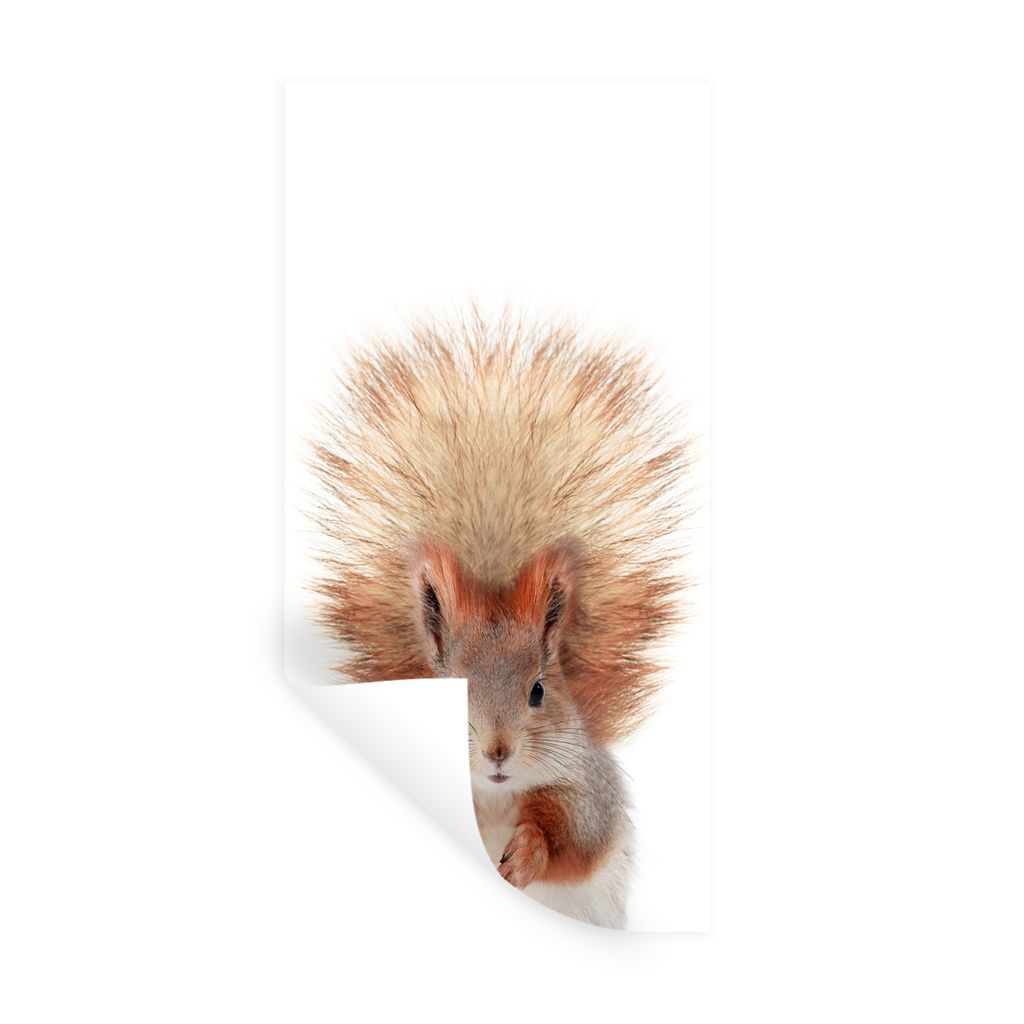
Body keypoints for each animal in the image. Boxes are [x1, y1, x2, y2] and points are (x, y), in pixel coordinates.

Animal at [307, 309, 693, 929]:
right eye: (445, 689)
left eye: (538, 691)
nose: (497, 751)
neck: (489, 797)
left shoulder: (586, 787)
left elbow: (577, 836)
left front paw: (528, 851)